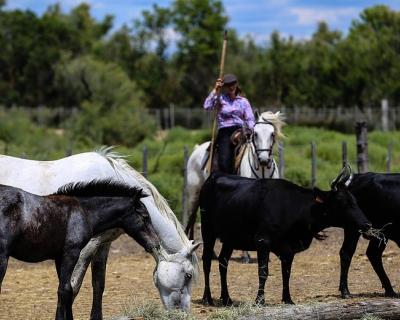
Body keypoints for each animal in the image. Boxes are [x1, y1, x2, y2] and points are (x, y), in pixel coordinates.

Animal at [0, 180, 161, 320]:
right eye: (144, 217)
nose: (156, 243)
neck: (83, 211)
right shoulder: (71, 253)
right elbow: (64, 290)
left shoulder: (59, 257)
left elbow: (69, 289)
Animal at [184, 111, 284, 241]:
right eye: (255, 134)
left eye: (272, 134)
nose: (263, 160)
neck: (262, 171)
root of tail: (196, 149)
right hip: (194, 192)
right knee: (192, 215)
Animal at [198, 169, 374, 306]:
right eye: (342, 202)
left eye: (355, 200)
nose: (367, 224)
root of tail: (215, 175)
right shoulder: (262, 241)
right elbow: (263, 271)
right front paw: (260, 300)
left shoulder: (288, 248)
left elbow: (287, 272)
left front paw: (288, 299)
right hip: (208, 230)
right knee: (207, 261)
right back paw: (208, 298)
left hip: (229, 238)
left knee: (223, 262)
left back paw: (227, 298)